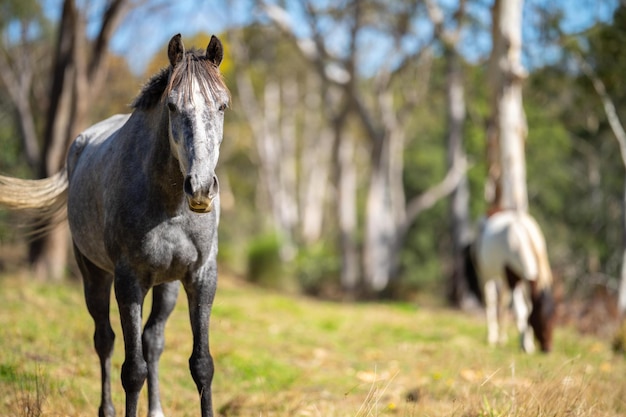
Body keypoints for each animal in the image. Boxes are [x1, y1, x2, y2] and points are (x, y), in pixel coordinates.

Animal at [0, 33, 229, 416]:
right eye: (171, 106)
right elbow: (132, 370)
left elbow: (202, 365)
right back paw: (106, 409)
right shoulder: (128, 280)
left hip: (166, 285)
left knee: (153, 340)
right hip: (94, 274)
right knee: (104, 340)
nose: (200, 188)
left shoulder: (200, 277)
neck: (170, 207)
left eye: (223, 106)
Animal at [464, 211, 556, 352]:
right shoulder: (512, 277)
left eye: (554, 319)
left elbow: (528, 308)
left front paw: (528, 342)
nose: (548, 349)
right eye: (540, 319)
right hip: (485, 275)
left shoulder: (526, 279)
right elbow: (520, 311)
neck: (521, 236)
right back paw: (491, 337)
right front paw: (525, 345)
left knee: (502, 303)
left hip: (503, 280)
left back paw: (501, 339)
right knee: (490, 301)